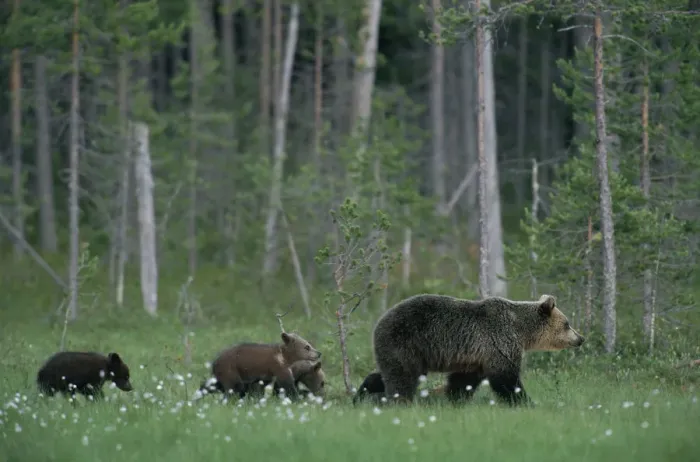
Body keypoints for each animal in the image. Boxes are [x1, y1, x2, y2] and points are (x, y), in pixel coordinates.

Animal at [370, 293, 584, 406]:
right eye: (567, 324)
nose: (581, 338)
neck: (521, 330)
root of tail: (379, 321)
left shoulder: (475, 358)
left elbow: (463, 381)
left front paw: (454, 399)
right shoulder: (499, 342)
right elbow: (505, 379)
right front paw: (527, 402)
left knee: (388, 373)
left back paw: (366, 391)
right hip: (407, 341)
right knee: (403, 377)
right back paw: (399, 401)